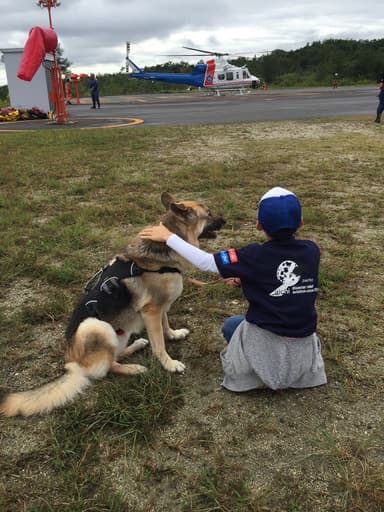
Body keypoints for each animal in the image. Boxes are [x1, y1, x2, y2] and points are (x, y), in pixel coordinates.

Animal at [0, 192, 224, 416]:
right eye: (209, 213)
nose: (225, 220)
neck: (167, 245)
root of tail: (72, 362)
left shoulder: (160, 307)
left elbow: (165, 326)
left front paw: (174, 335)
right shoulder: (151, 311)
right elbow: (159, 344)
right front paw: (169, 364)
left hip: (120, 332)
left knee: (116, 354)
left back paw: (136, 346)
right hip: (94, 326)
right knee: (108, 367)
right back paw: (133, 368)